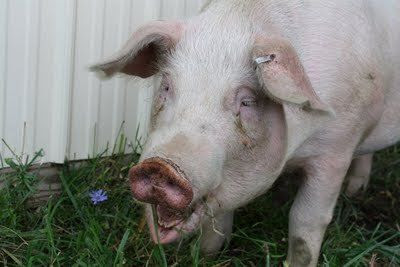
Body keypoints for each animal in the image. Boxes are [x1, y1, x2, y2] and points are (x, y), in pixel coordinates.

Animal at [90, 1, 400, 266]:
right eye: (166, 86)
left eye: (247, 101)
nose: (160, 167)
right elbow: (217, 222)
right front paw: (207, 256)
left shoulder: (336, 149)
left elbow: (306, 219)